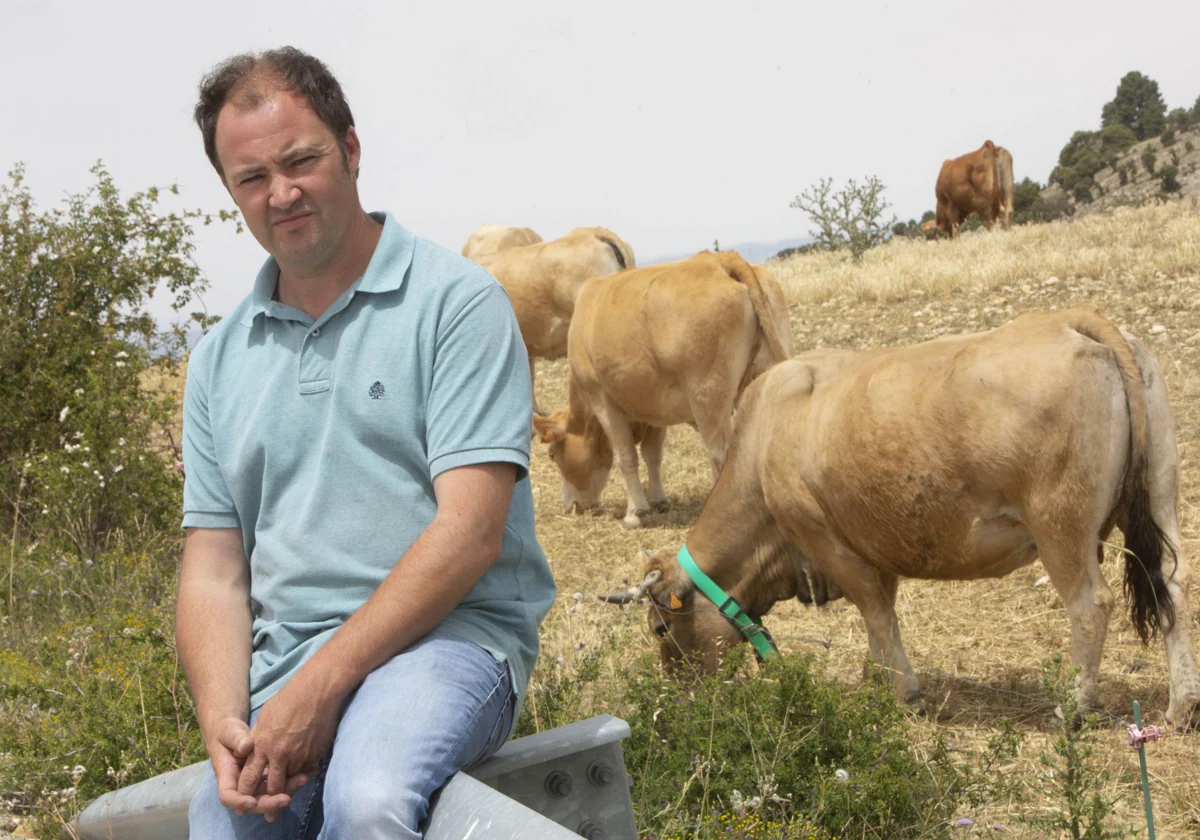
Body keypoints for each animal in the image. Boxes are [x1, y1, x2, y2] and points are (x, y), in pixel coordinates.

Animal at [532, 249, 792, 528]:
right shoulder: (655, 408)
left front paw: (635, 513)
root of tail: (720, 260)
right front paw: (658, 500)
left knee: (721, 453)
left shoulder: (602, 401)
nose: (569, 504)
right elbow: (653, 455)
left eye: (552, 455)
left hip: (708, 394)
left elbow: (626, 457)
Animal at [614, 309, 1200, 729]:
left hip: (1062, 526)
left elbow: (875, 613)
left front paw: (904, 693)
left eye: (661, 628)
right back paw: (1181, 706)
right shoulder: (873, 546)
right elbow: (883, 618)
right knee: (1171, 583)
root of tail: (1070, 320)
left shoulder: (825, 539)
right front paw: (876, 678)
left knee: (1090, 605)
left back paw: (1072, 708)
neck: (762, 443)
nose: (679, 697)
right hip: (1160, 492)